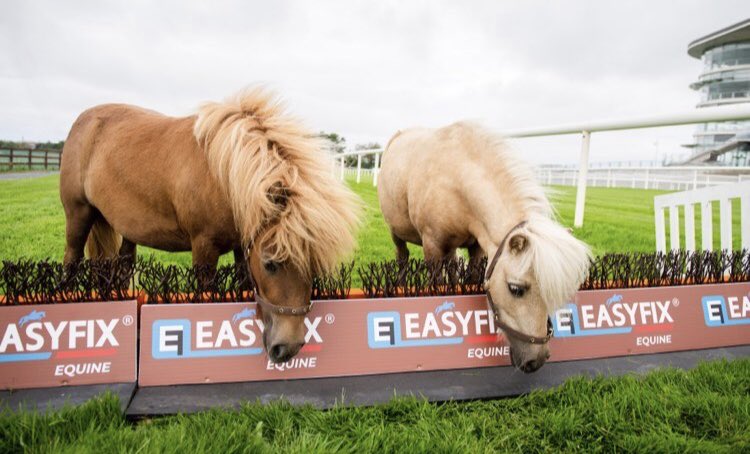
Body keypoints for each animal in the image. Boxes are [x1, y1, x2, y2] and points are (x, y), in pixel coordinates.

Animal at [61, 88, 362, 364]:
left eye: (314, 267)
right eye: (270, 264)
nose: (287, 348)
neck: (222, 174)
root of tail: (84, 120)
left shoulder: (243, 246)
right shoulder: (204, 247)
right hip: (79, 215)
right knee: (71, 259)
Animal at [378, 120, 592, 372]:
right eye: (516, 288)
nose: (536, 360)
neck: (455, 177)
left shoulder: (476, 248)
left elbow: (468, 278)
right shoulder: (432, 246)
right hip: (396, 232)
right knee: (402, 256)